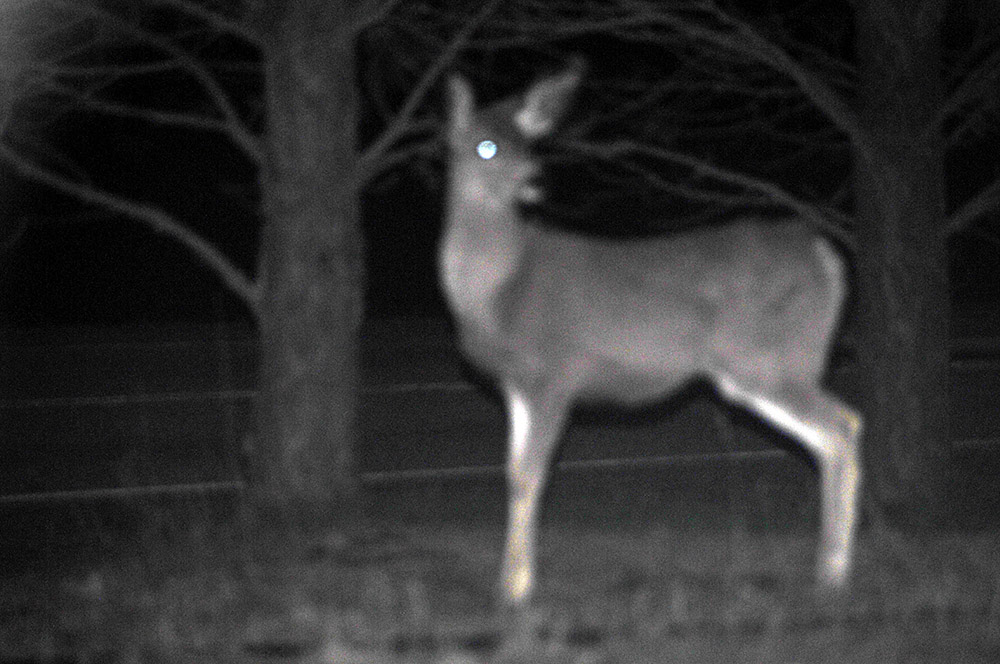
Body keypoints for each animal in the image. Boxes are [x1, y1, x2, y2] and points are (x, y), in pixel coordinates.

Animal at [439, 61, 862, 606]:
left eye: (528, 145)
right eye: (486, 146)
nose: (534, 178)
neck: (501, 291)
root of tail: (823, 254)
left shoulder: (555, 370)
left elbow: (532, 475)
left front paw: (515, 591)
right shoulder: (517, 384)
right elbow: (512, 473)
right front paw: (508, 584)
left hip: (768, 358)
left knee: (841, 427)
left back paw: (833, 575)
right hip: (765, 367)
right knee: (835, 432)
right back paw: (831, 572)